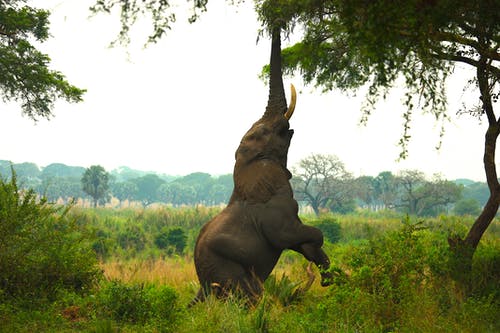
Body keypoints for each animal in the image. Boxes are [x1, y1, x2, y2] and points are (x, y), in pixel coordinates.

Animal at [191, 24, 332, 302]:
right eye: (266, 131)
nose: (277, 23)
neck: (250, 162)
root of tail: (204, 284)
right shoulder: (276, 215)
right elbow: (299, 235)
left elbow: (305, 242)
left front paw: (330, 276)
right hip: (228, 272)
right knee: (250, 296)